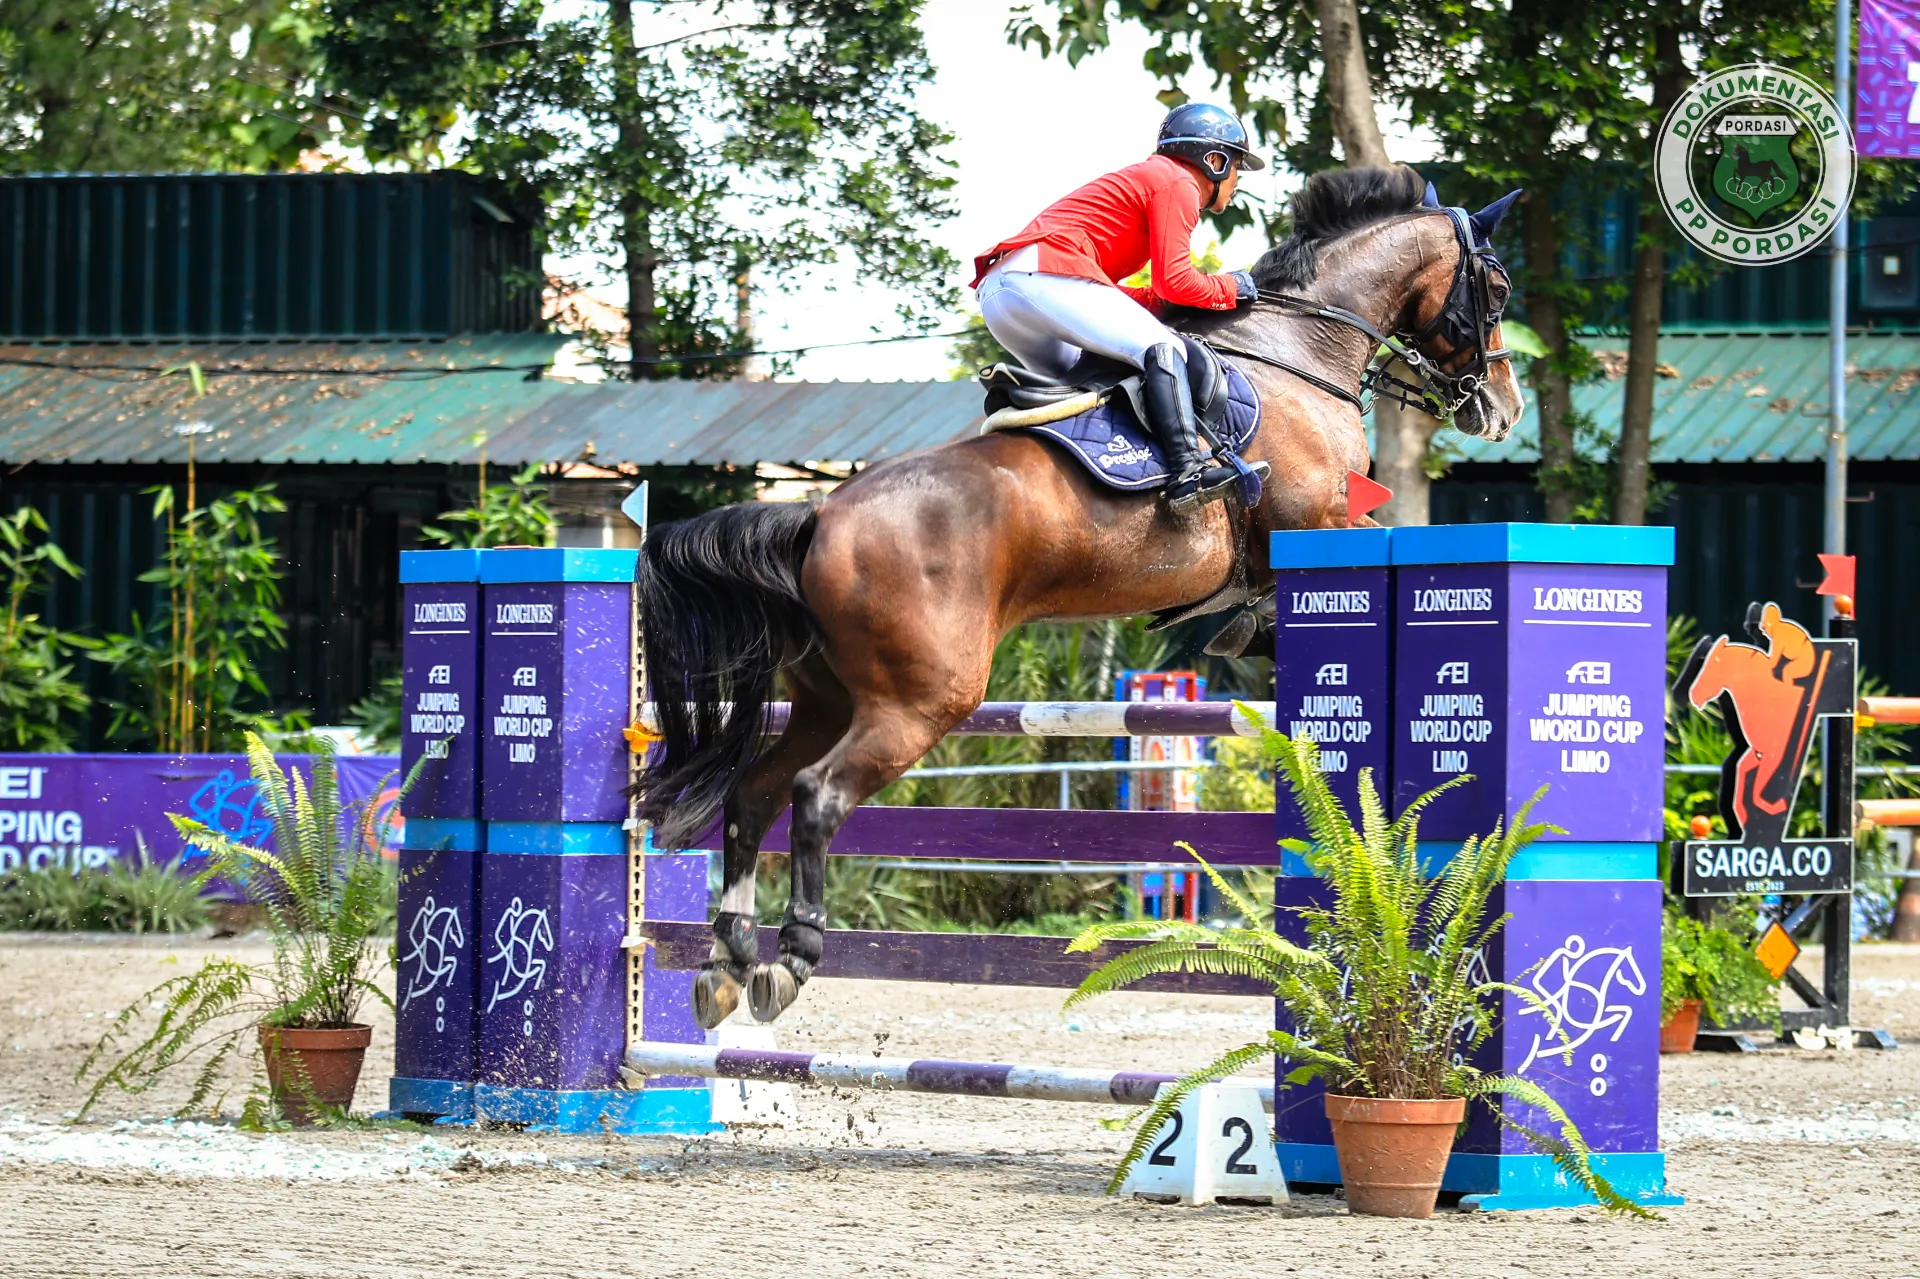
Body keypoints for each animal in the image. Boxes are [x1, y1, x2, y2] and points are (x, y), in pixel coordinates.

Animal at [634, 164, 1529, 1027]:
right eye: (1498, 288)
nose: (1503, 407)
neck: (1298, 350)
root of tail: (819, 514)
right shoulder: (1316, 522)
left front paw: (1244, 638)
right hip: (920, 700)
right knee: (816, 795)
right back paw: (789, 956)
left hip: (827, 696)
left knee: (753, 793)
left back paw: (726, 960)